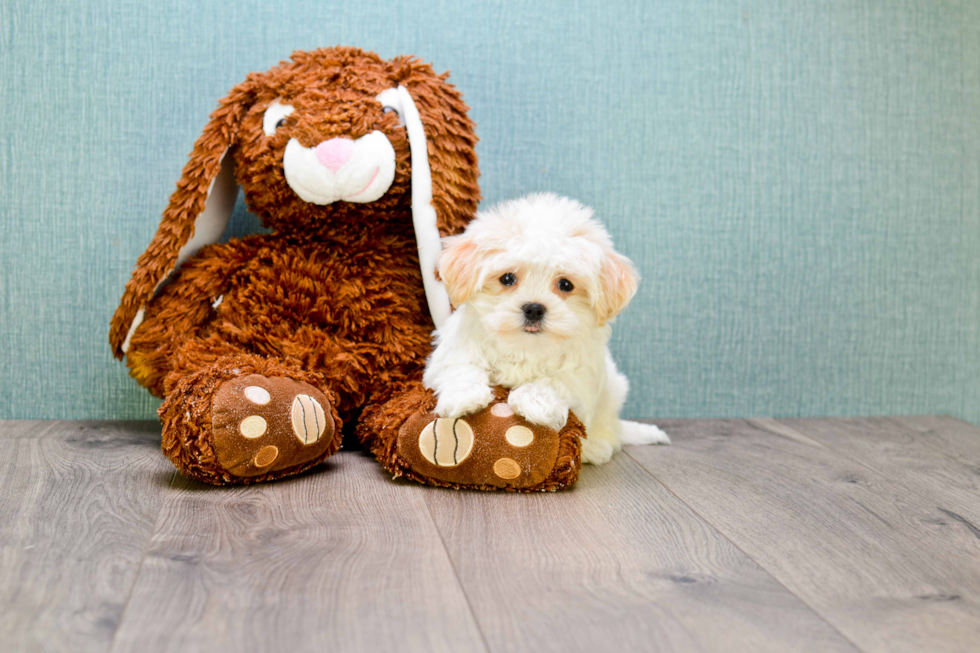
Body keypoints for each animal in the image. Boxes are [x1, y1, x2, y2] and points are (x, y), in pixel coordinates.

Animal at [424, 191, 668, 460]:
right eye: (507, 278)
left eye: (565, 284)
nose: (534, 308)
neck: (525, 347)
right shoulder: (452, 352)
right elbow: (461, 365)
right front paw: (464, 396)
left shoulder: (583, 372)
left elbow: (557, 379)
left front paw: (533, 403)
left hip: (614, 391)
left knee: (608, 430)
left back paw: (596, 446)